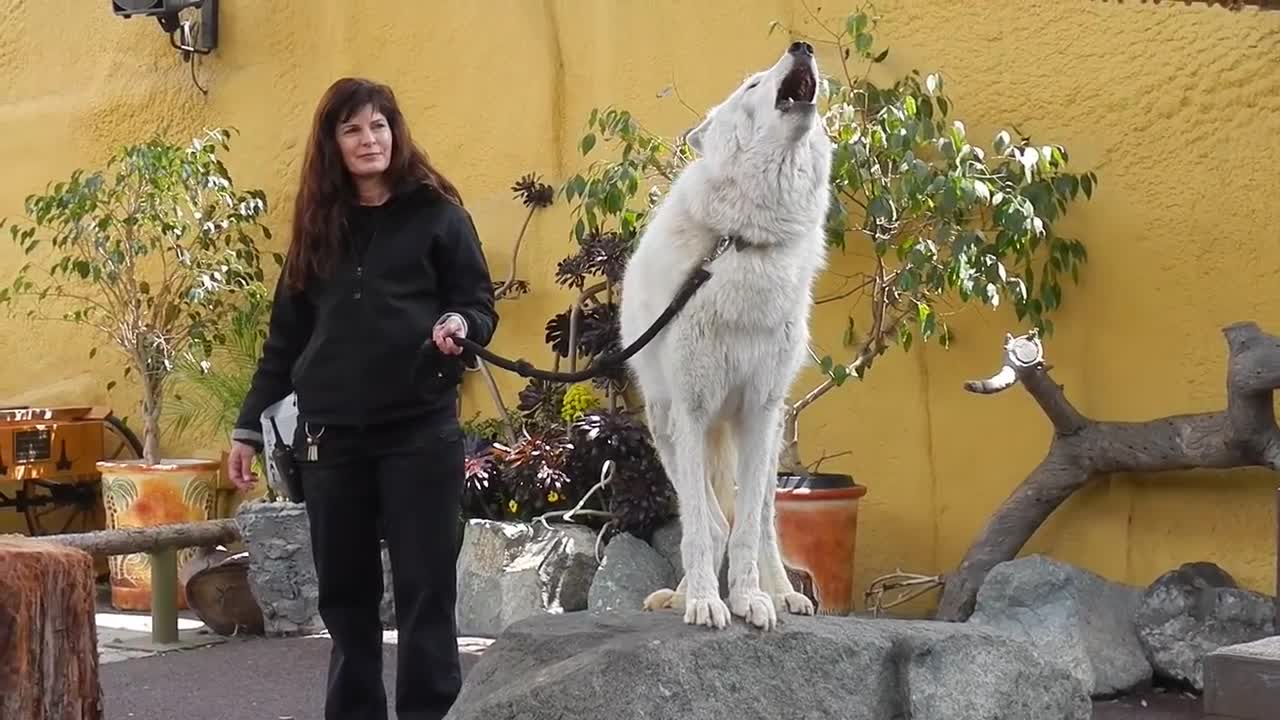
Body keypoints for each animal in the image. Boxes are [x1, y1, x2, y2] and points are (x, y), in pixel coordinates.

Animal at [616, 40, 834, 627]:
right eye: (752, 85)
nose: (802, 46)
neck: (745, 240)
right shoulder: (692, 411)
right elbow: (700, 528)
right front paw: (703, 603)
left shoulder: (758, 412)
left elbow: (747, 531)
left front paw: (751, 600)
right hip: (668, 429)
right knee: (709, 520)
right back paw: (680, 595)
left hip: (769, 434)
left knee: (759, 522)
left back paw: (783, 594)